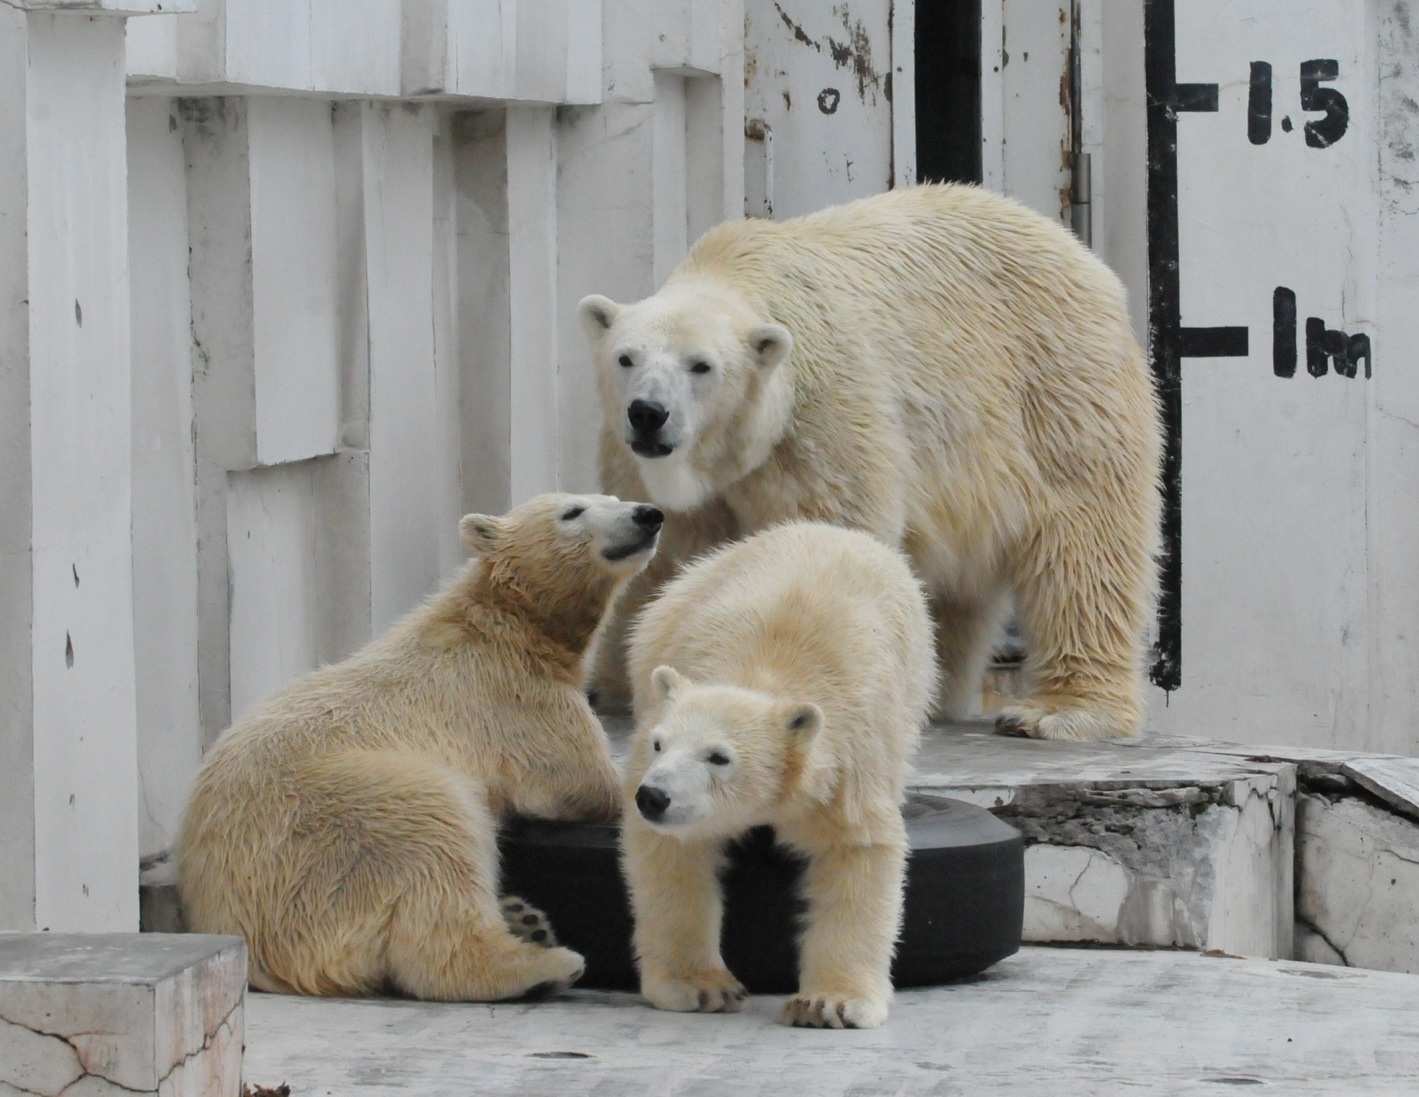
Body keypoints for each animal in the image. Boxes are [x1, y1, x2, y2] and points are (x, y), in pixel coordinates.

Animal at [581, 184, 1157, 737]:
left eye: (701, 365)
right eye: (626, 357)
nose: (649, 413)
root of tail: (1082, 255)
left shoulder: (822, 419)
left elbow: (825, 542)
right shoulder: (640, 465)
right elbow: (660, 562)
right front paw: (611, 685)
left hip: (1058, 393)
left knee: (1084, 552)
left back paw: (1058, 711)